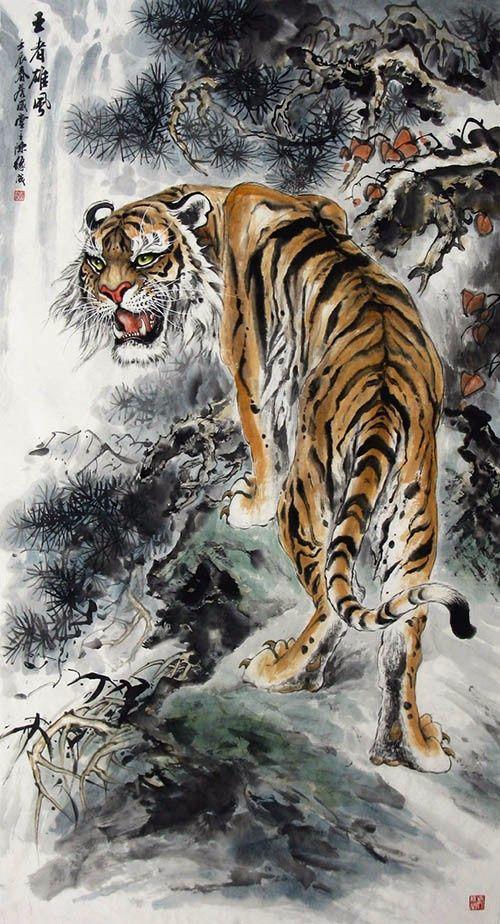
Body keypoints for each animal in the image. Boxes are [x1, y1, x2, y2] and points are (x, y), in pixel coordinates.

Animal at [52, 181, 476, 773]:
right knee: (402, 635)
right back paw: (414, 745)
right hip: (412, 524)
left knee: (331, 604)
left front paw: (248, 504)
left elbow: (260, 438)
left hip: (307, 501)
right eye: (96, 261)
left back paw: (278, 671)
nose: (111, 294)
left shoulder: (248, 364)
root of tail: (385, 405)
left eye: (145, 258)